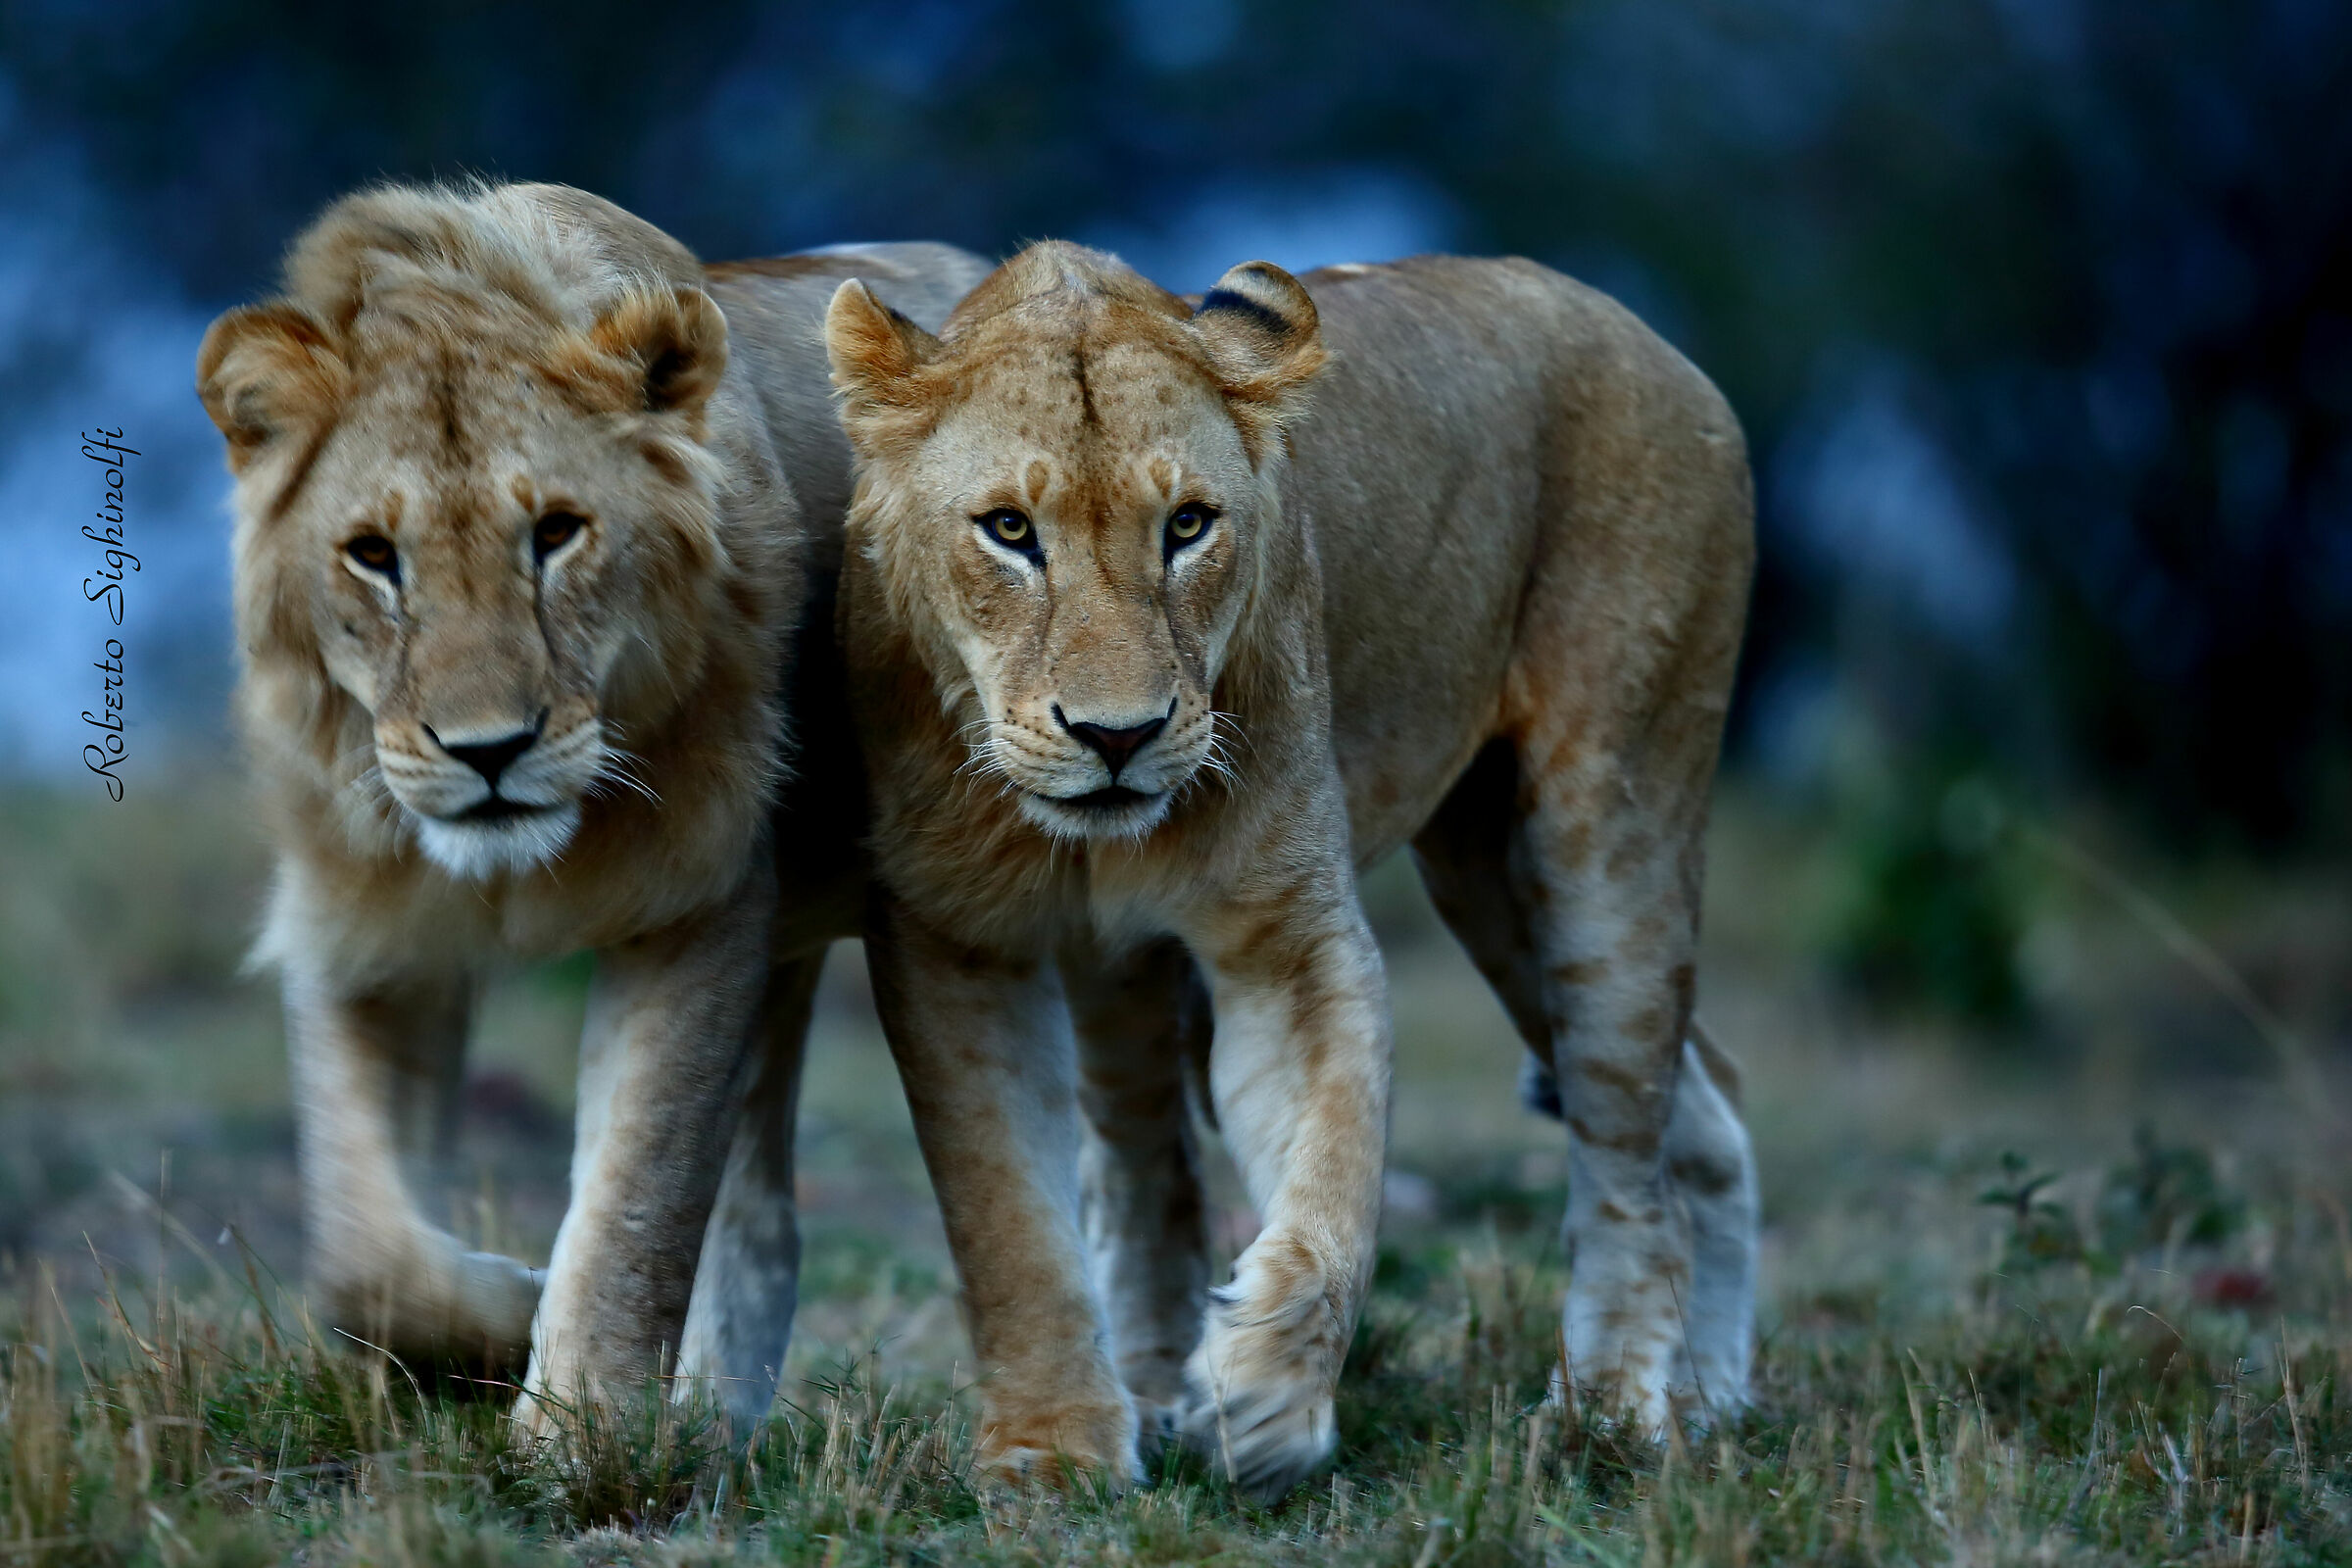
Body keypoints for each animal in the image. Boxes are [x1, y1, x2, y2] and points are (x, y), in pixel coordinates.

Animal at [196, 180, 989, 1432]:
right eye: (373, 556)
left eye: (556, 532)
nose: (489, 752)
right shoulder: (360, 921)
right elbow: (361, 1248)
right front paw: (495, 1326)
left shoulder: (700, 897)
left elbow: (635, 1196)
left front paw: (580, 1430)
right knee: (762, 1217)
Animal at [823, 242, 1758, 1494]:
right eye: (1009, 529)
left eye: (1188, 524)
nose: (1117, 736)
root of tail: (1649, 337)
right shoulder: (955, 942)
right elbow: (1007, 1218)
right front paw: (1055, 1451)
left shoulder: (1289, 942)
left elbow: (1333, 1182)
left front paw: (1264, 1394)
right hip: (1487, 880)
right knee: (1704, 1099)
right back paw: (1709, 1396)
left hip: (1604, 823)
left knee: (1626, 1146)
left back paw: (1613, 1411)